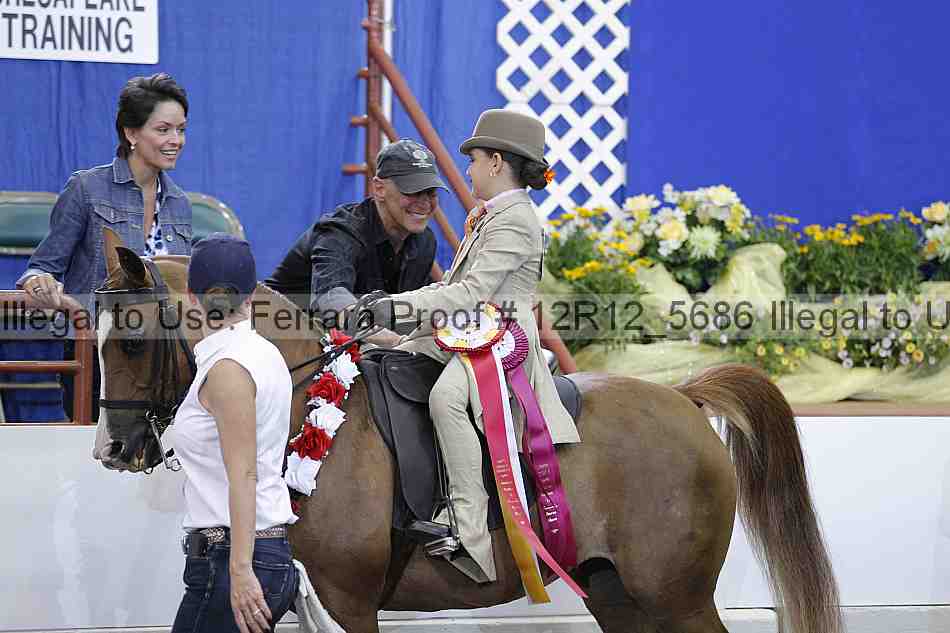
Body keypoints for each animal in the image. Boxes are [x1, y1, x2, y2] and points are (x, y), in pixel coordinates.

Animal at [90, 239, 841, 633]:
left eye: (131, 340)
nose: (113, 450)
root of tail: (683, 398)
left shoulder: (349, 600)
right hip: (618, 594)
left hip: (677, 597)